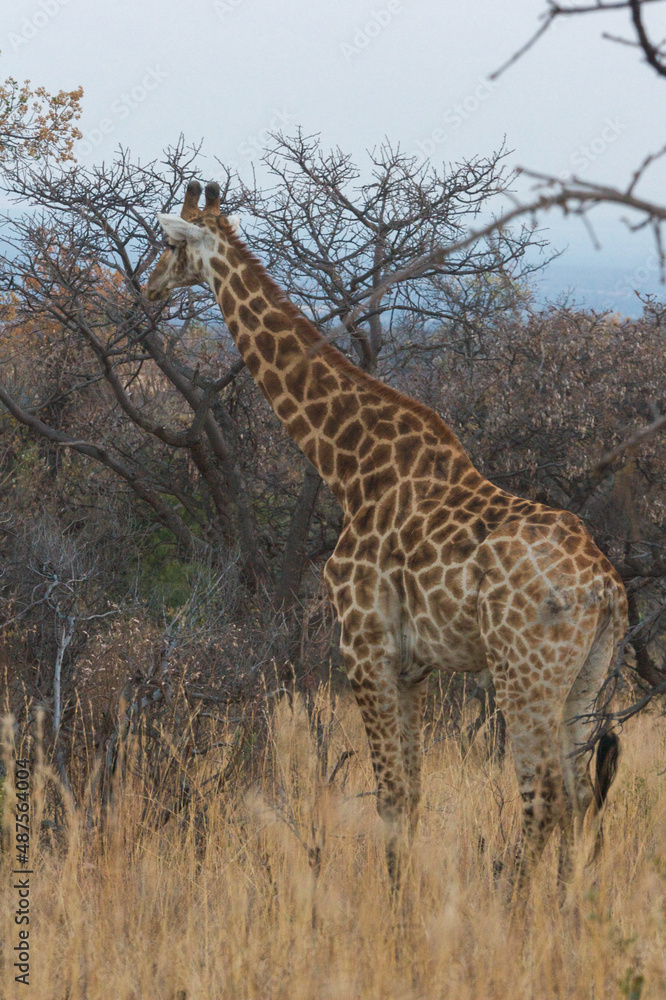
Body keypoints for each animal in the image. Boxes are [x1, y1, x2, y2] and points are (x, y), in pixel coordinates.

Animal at [145, 180, 627, 891]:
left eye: (170, 243)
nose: (148, 287)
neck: (351, 467)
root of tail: (606, 587)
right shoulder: (414, 666)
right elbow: (415, 794)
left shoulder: (364, 648)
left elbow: (392, 796)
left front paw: (396, 907)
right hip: (584, 678)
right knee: (579, 794)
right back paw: (562, 909)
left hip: (524, 673)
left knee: (544, 796)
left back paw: (513, 903)